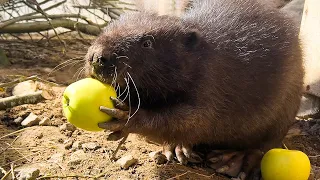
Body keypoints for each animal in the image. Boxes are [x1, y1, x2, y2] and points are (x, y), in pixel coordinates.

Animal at [84, 0, 304, 179]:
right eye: (110, 25)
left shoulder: (210, 82)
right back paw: (180, 150)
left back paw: (232, 162)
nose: (97, 57)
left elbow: (192, 119)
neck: (201, 54)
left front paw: (124, 116)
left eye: (147, 43)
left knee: (265, 145)